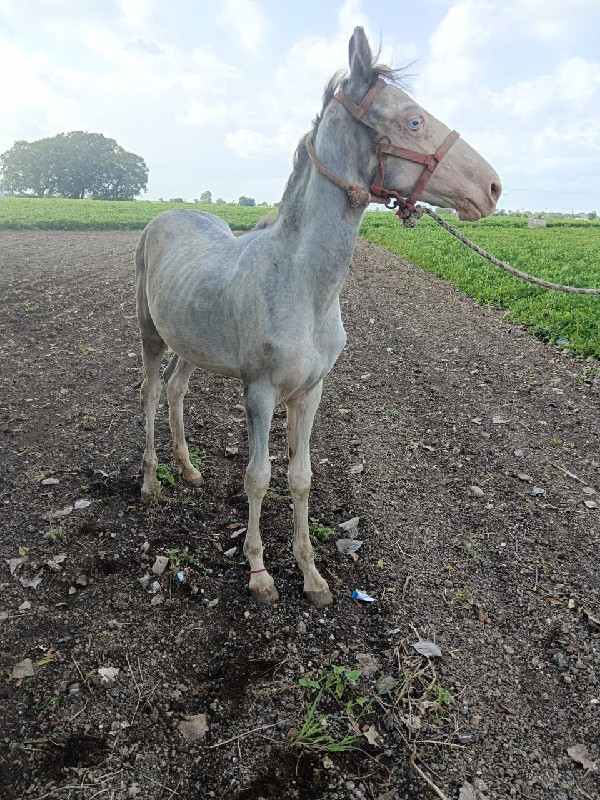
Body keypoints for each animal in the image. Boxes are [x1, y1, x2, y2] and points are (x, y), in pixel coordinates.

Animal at [136, 29, 502, 608]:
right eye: (413, 120)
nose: (491, 188)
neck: (303, 286)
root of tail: (164, 217)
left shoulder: (311, 392)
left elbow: (301, 478)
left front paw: (311, 575)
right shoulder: (260, 391)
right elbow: (258, 477)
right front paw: (259, 572)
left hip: (191, 344)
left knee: (176, 389)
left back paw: (189, 470)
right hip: (150, 333)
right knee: (151, 392)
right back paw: (151, 480)